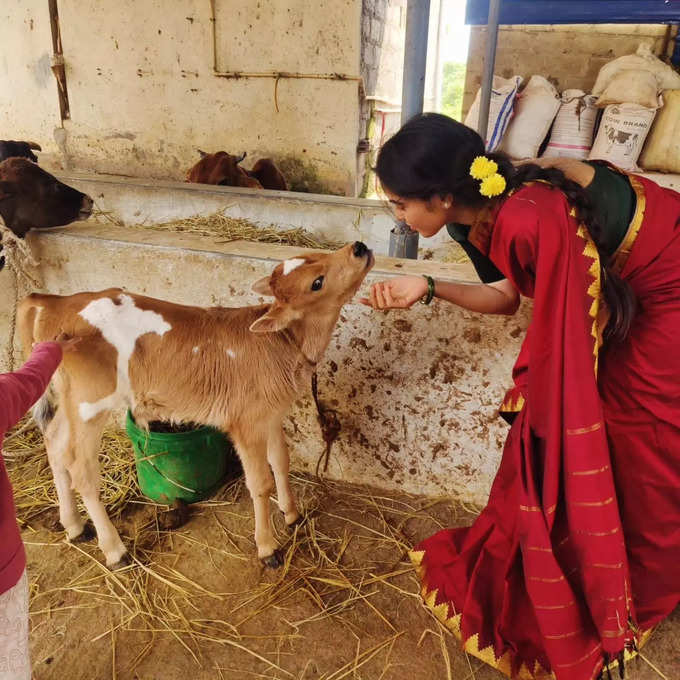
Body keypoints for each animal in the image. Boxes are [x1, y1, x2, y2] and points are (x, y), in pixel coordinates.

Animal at [18, 242, 372, 564]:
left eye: (316, 254)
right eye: (317, 283)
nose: (359, 247)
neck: (283, 344)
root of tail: (50, 302)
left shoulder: (270, 414)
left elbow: (280, 463)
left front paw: (292, 515)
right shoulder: (245, 422)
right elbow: (260, 483)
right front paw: (267, 548)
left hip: (70, 400)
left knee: (55, 443)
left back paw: (75, 526)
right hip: (90, 403)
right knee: (81, 467)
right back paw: (115, 550)